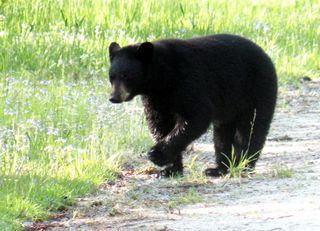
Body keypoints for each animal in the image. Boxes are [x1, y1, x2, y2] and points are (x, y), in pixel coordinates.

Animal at [108, 33, 278, 177]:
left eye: (126, 75)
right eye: (111, 76)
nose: (113, 97)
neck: (163, 78)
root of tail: (266, 56)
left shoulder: (187, 80)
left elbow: (197, 116)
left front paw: (155, 155)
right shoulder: (155, 98)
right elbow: (160, 124)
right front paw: (170, 170)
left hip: (256, 90)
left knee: (252, 128)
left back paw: (244, 165)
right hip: (230, 107)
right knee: (222, 135)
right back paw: (218, 169)